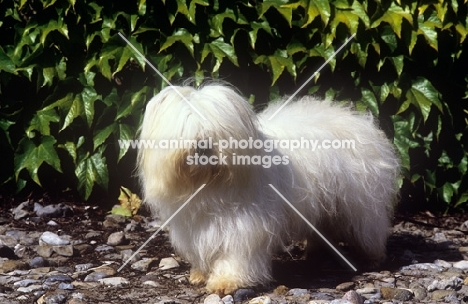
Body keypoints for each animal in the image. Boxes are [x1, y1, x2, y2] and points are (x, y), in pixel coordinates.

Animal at [137, 83, 400, 294]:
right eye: (186, 126)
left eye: (218, 129)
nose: (203, 145)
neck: (208, 184)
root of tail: (356, 119)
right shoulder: (193, 226)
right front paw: (200, 273)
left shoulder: (243, 225)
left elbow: (235, 255)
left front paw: (226, 281)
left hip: (360, 203)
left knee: (370, 228)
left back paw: (372, 258)